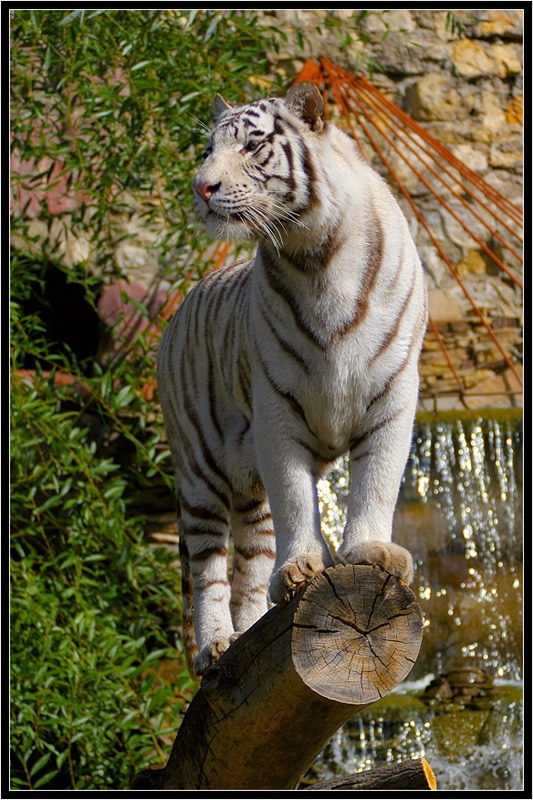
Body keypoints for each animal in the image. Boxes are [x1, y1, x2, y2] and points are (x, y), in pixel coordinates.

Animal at [157, 84, 428, 680]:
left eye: (252, 145)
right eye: (209, 149)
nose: (200, 186)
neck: (315, 256)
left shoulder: (393, 398)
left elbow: (376, 482)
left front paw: (371, 552)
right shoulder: (277, 409)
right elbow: (297, 498)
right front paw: (304, 563)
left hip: (246, 498)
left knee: (250, 564)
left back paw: (251, 631)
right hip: (199, 475)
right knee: (209, 572)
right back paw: (216, 645)